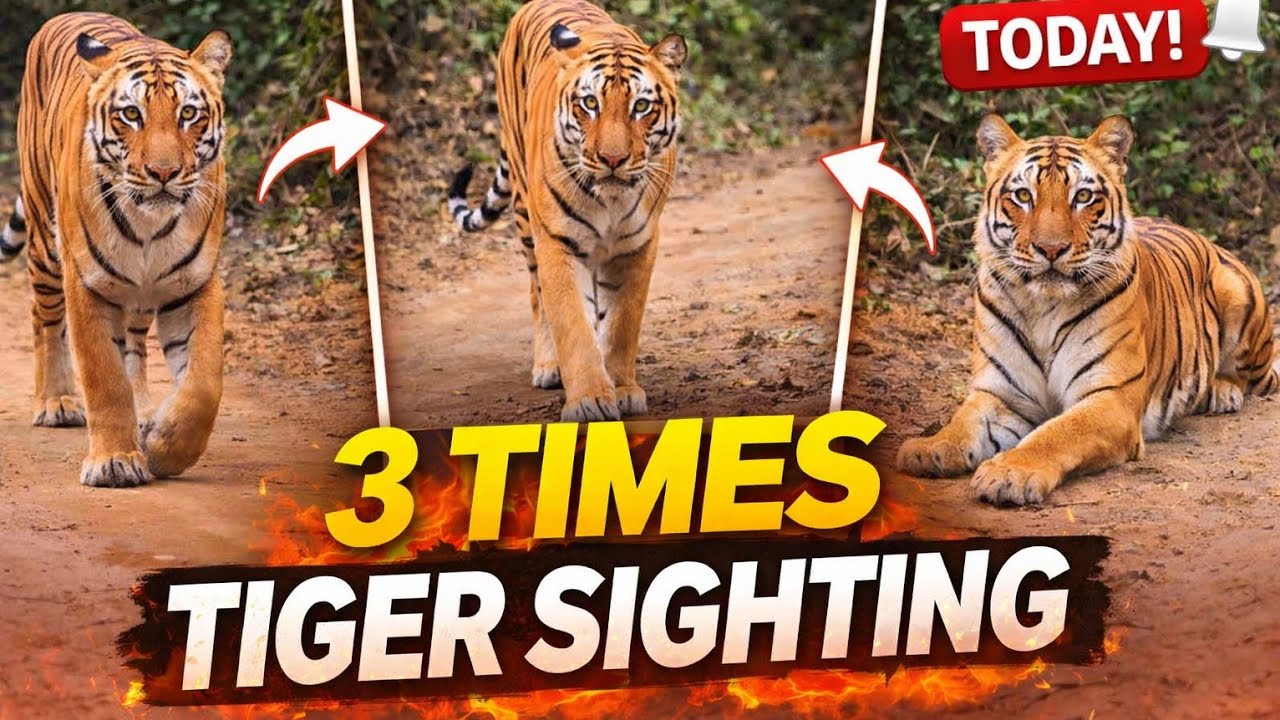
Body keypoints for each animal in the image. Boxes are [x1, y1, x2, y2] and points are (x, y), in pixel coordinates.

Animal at [2, 13, 232, 487]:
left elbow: (204, 383)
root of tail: (66, 15)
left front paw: (165, 448)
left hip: (140, 296)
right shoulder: (87, 283)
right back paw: (55, 402)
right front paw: (115, 462)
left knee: (135, 345)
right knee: (44, 320)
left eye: (188, 114)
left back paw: (143, 410)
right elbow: (103, 377)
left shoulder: (196, 282)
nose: (163, 172)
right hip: (45, 244)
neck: (149, 225)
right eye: (131, 114)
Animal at [447, 0, 687, 422]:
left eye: (641, 106)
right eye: (590, 104)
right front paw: (590, 400)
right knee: (536, 295)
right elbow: (572, 323)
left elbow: (623, 323)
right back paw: (548, 367)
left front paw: (622, 388)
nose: (612, 159)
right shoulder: (556, 242)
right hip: (526, 216)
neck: (610, 202)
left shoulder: (638, 246)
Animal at [898, 114, 1279, 506]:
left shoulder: (1110, 397)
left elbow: (1057, 433)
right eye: (1023, 196)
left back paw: (1223, 392)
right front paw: (930, 448)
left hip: (1237, 297)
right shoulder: (1002, 394)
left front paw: (1010, 473)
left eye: (1083, 196)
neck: (1042, 307)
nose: (1051, 248)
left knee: (1257, 378)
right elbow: (962, 423)